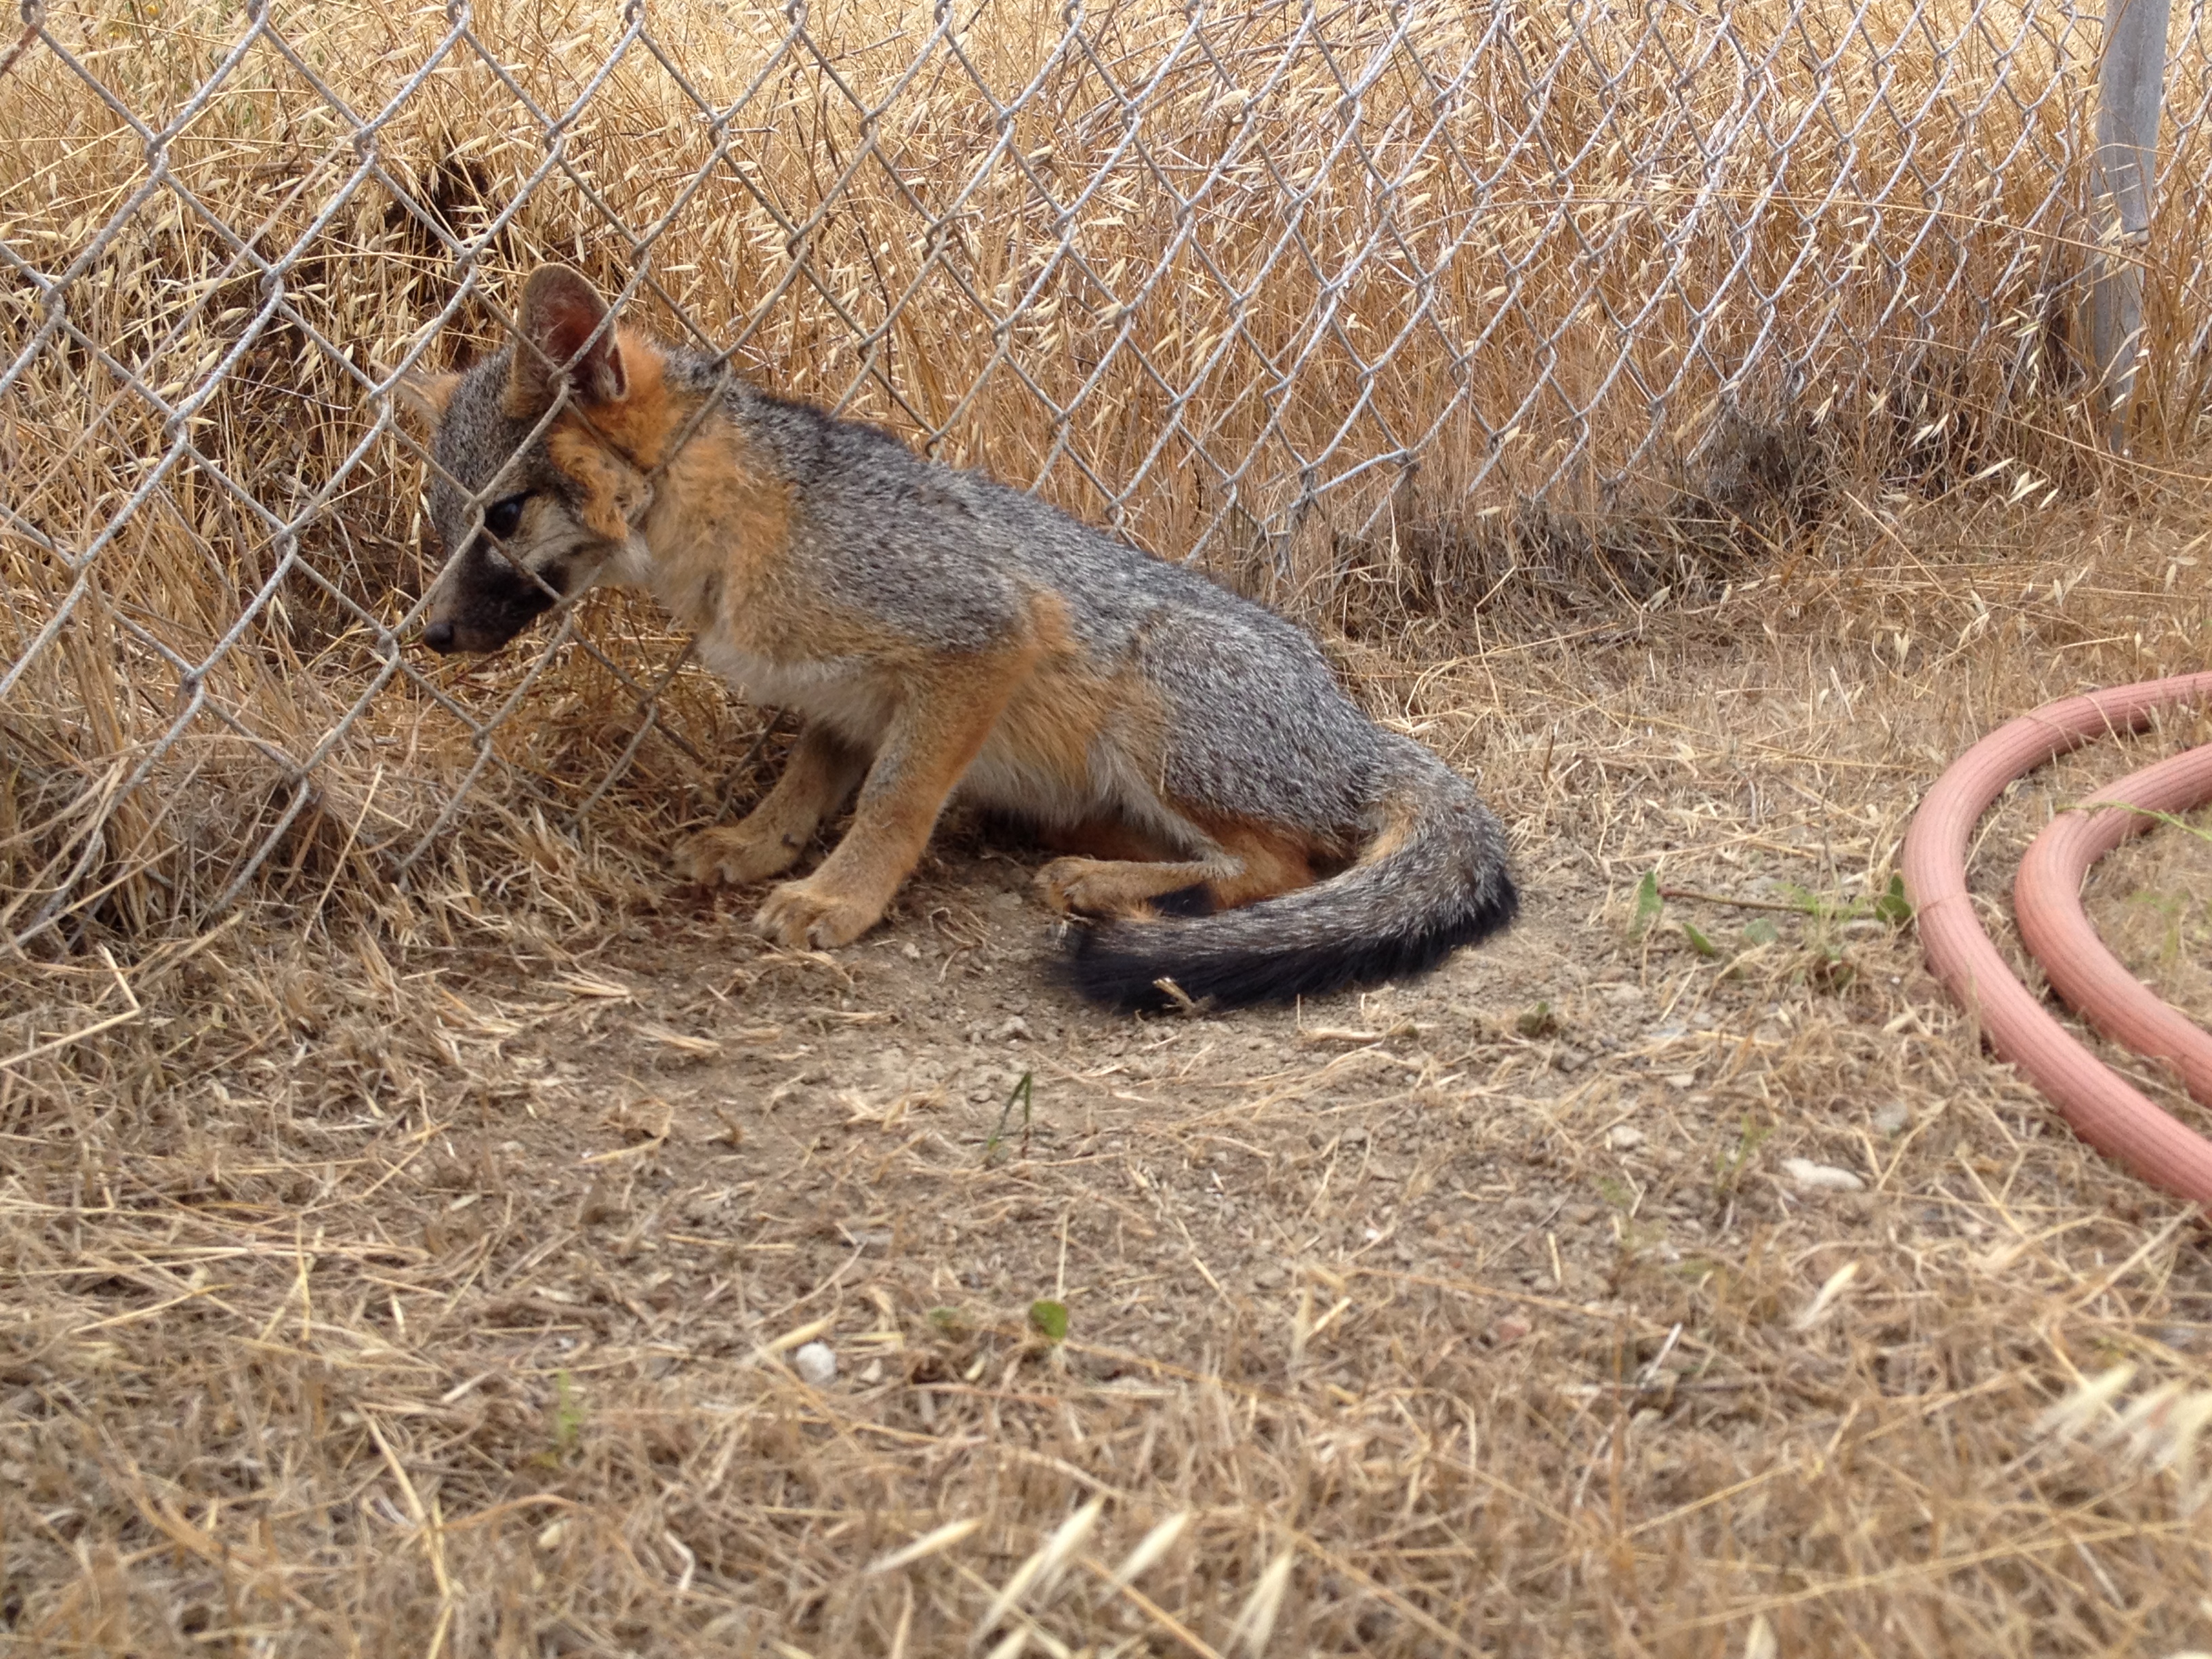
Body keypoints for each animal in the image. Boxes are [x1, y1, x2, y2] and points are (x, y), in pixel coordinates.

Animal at [398, 264, 1516, 1011]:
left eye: (501, 517)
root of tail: (1357, 730)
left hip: (1156, 713)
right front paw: (760, 843)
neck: (744, 525)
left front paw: (841, 898)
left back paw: (1105, 887)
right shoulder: (843, 687)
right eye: (442, 520)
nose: (431, 635)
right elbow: (806, 781)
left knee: (1282, 869)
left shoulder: (977, 640)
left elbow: (892, 802)